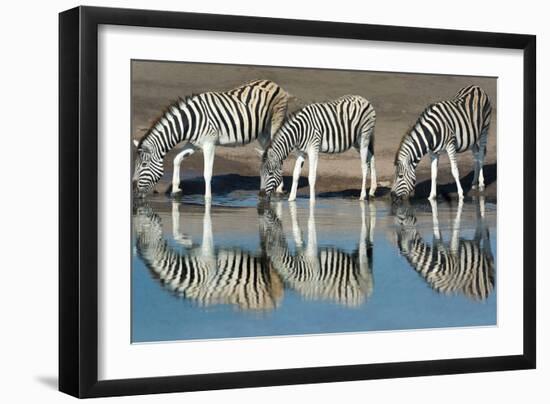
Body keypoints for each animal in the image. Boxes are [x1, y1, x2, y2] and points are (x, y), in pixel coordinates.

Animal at [133, 79, 294, 199]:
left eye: (144, 165)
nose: (134, 190)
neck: (190, 121)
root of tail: (273, 83)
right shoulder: (194, 143)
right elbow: (177, 159)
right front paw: (176, 190)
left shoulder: (209, 144)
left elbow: (207, 173)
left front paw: (208, 199)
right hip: (262, 132)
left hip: (275, 123)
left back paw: (279, 190)